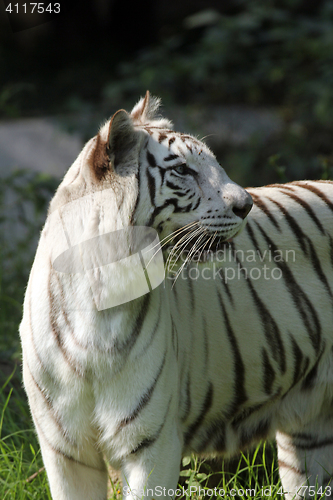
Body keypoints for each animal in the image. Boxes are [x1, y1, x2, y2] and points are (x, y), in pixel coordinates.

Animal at [20, 92, 332, 498]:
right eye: (183, 170)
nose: (246, 205)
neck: (97, 297)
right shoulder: (64, 448)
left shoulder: (150, 442)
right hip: (309, 431)